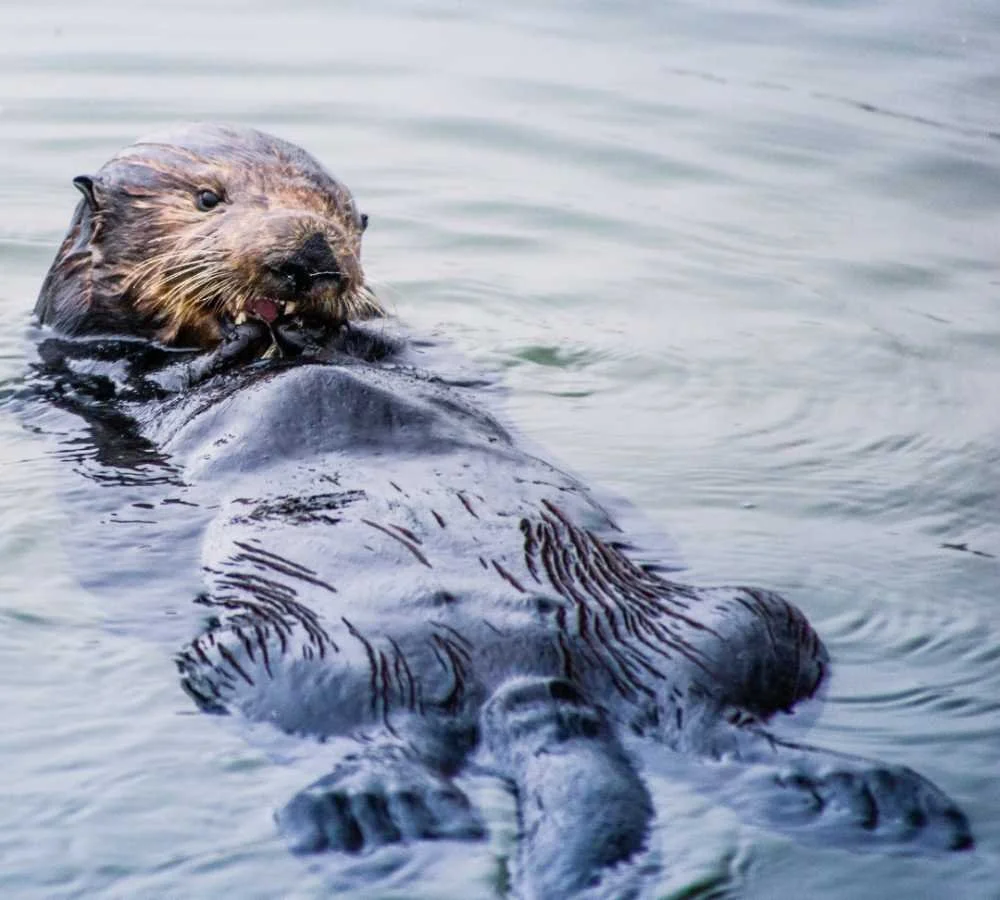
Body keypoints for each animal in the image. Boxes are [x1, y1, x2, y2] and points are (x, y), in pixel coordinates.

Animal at [29, 125, 972, 897]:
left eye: (335, 214)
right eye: (207, 198)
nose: (307, 253)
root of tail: (526, 676)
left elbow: (404, 347)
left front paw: (323, 326)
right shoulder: (85, 369)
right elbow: (148, 371)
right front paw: (249, 333)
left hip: (736, 627)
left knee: (717, 721)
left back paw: (872, 797)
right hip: (285, 660)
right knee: (385, 736)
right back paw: (371, 815)